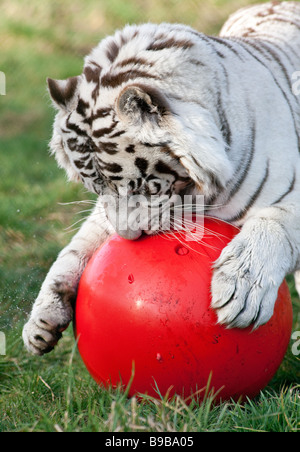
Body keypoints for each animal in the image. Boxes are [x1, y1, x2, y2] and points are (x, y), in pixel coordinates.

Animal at [22, 2, 300, 356]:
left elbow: (269, 228)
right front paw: (41, 320)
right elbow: (75, 248)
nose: (128, 237)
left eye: (139, 186)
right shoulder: (103, 217)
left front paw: (240, 291)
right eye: (95, 188)